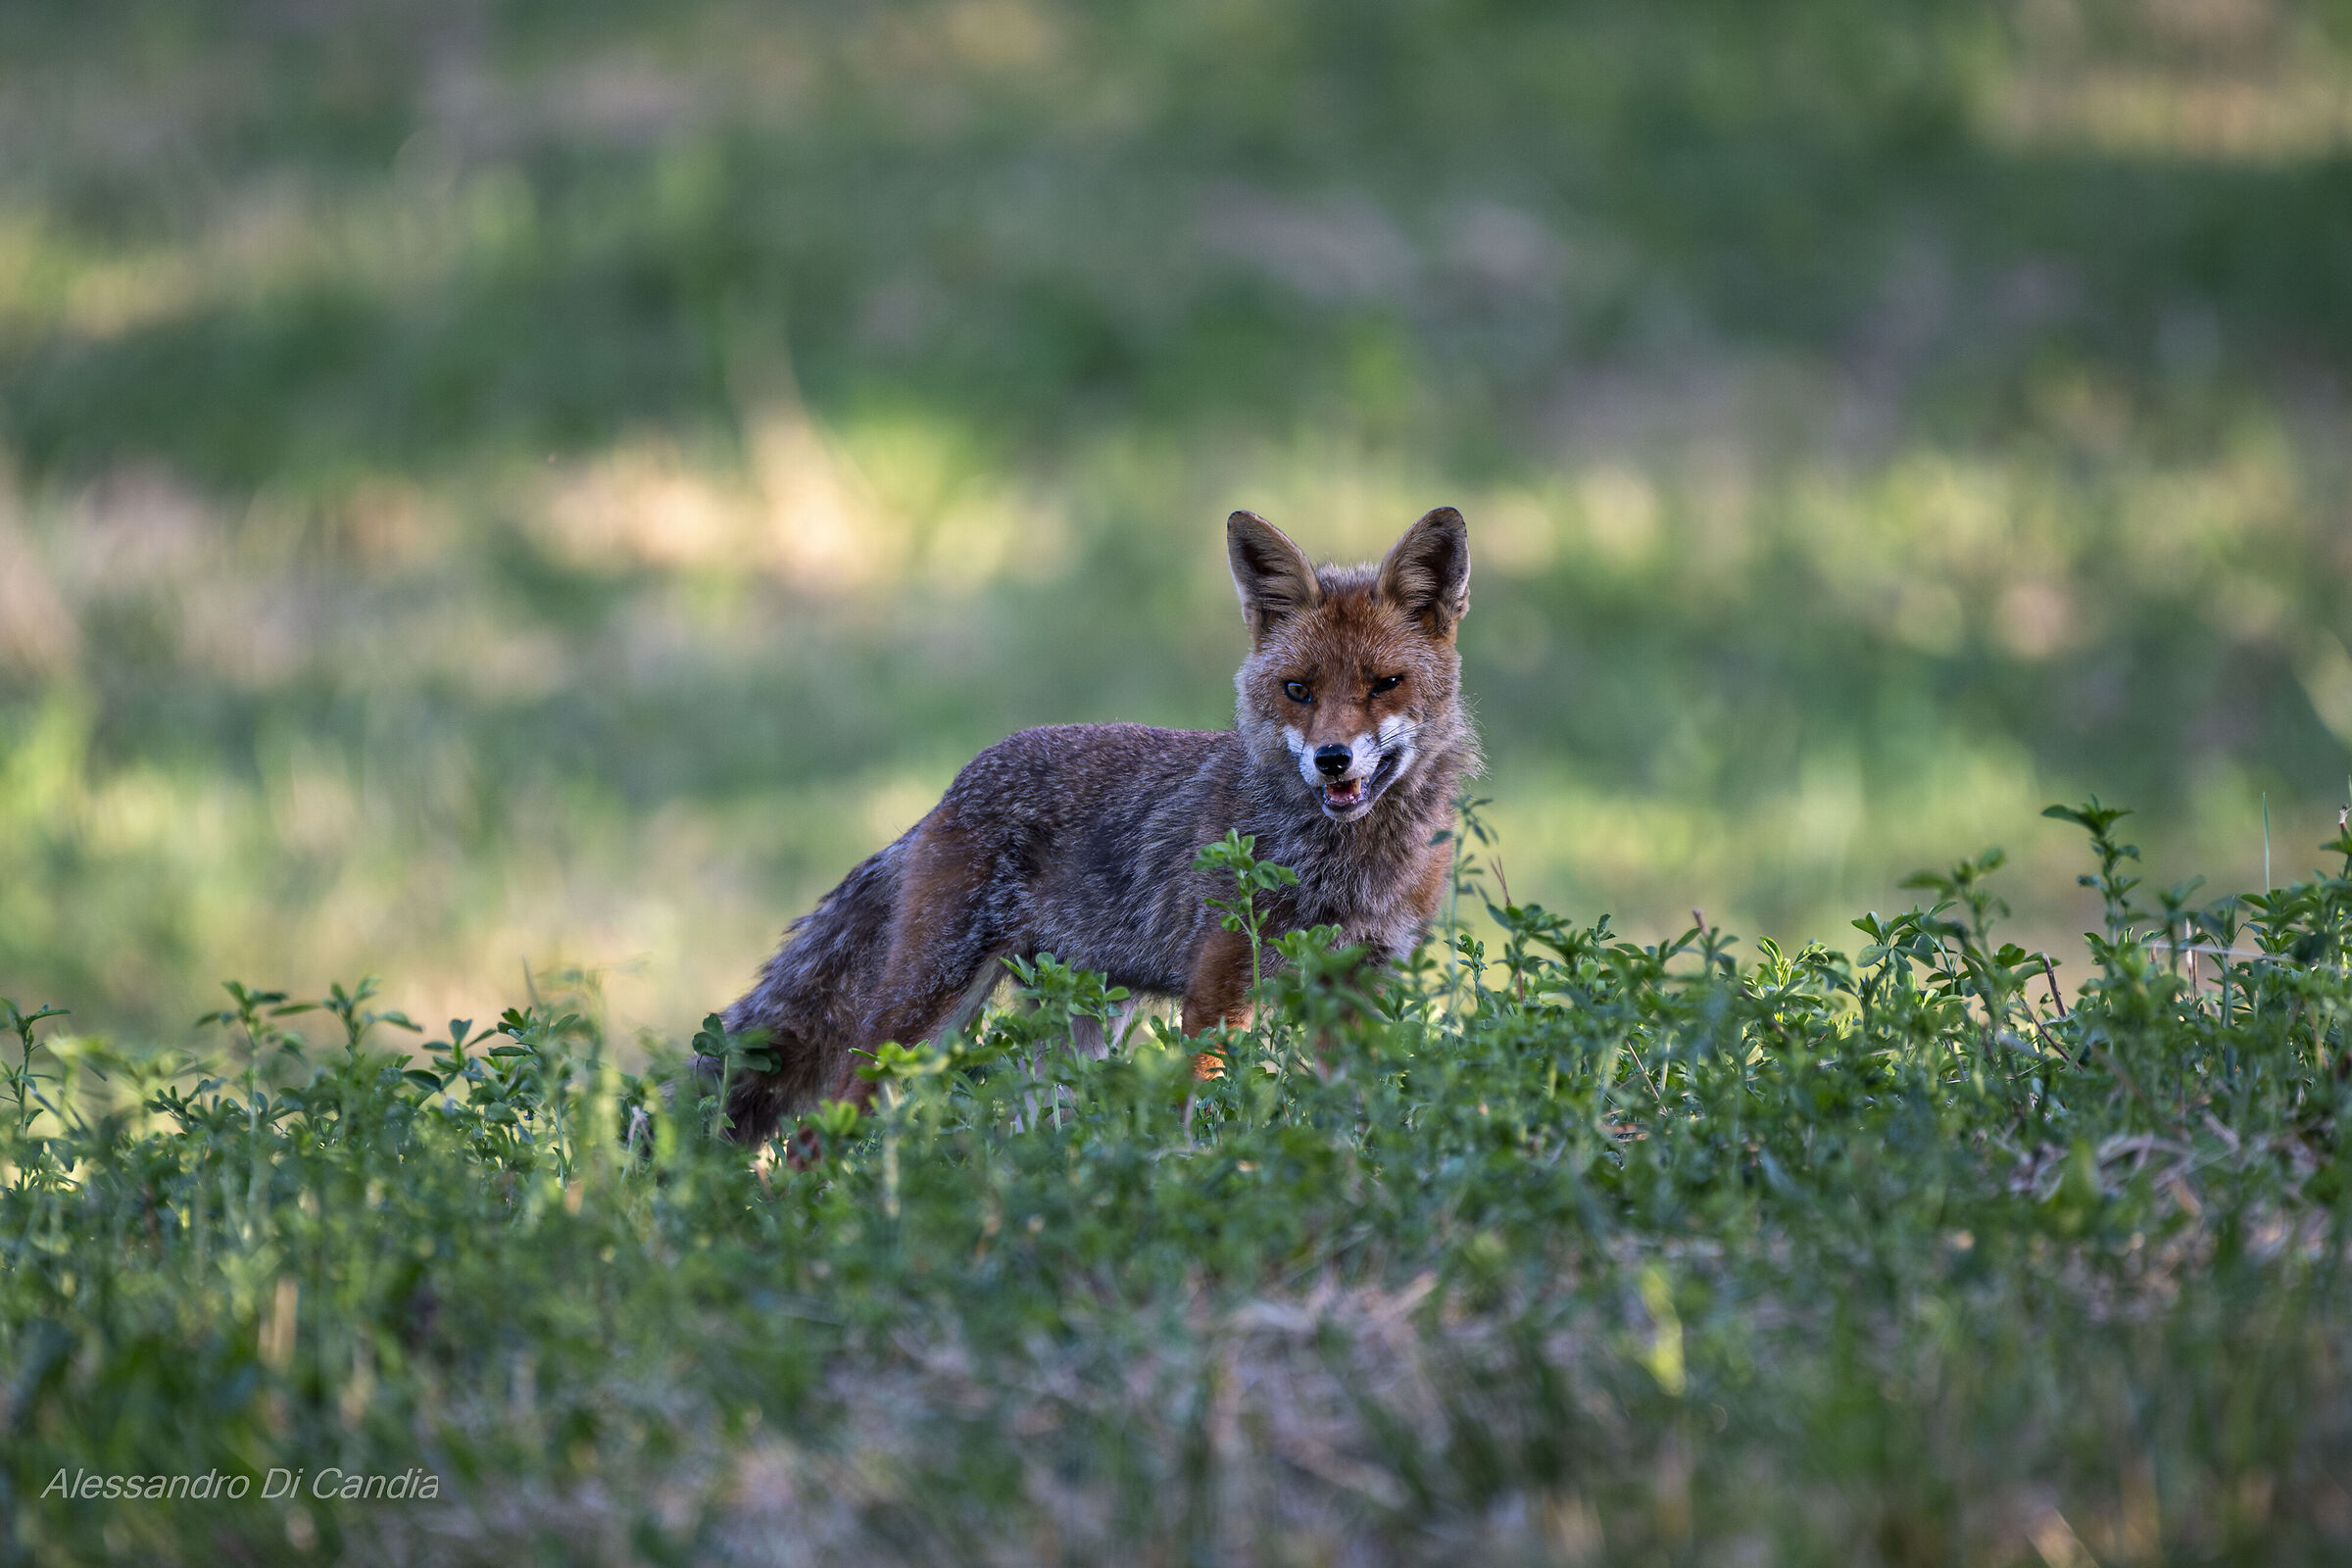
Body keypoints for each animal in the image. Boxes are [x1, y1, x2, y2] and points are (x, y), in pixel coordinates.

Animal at [708, 506, 1479, 1145]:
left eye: (1384, 684)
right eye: (1299, 690)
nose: (1332, 759)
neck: (1344, 868)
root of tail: (955, 786)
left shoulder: (1357, 987)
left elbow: (1346, 1117)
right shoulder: (1220, 983)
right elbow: (1202, 1111)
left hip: (1080, 1020)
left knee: (1033, 1123)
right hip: (928, 1004)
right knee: (820, 1129)